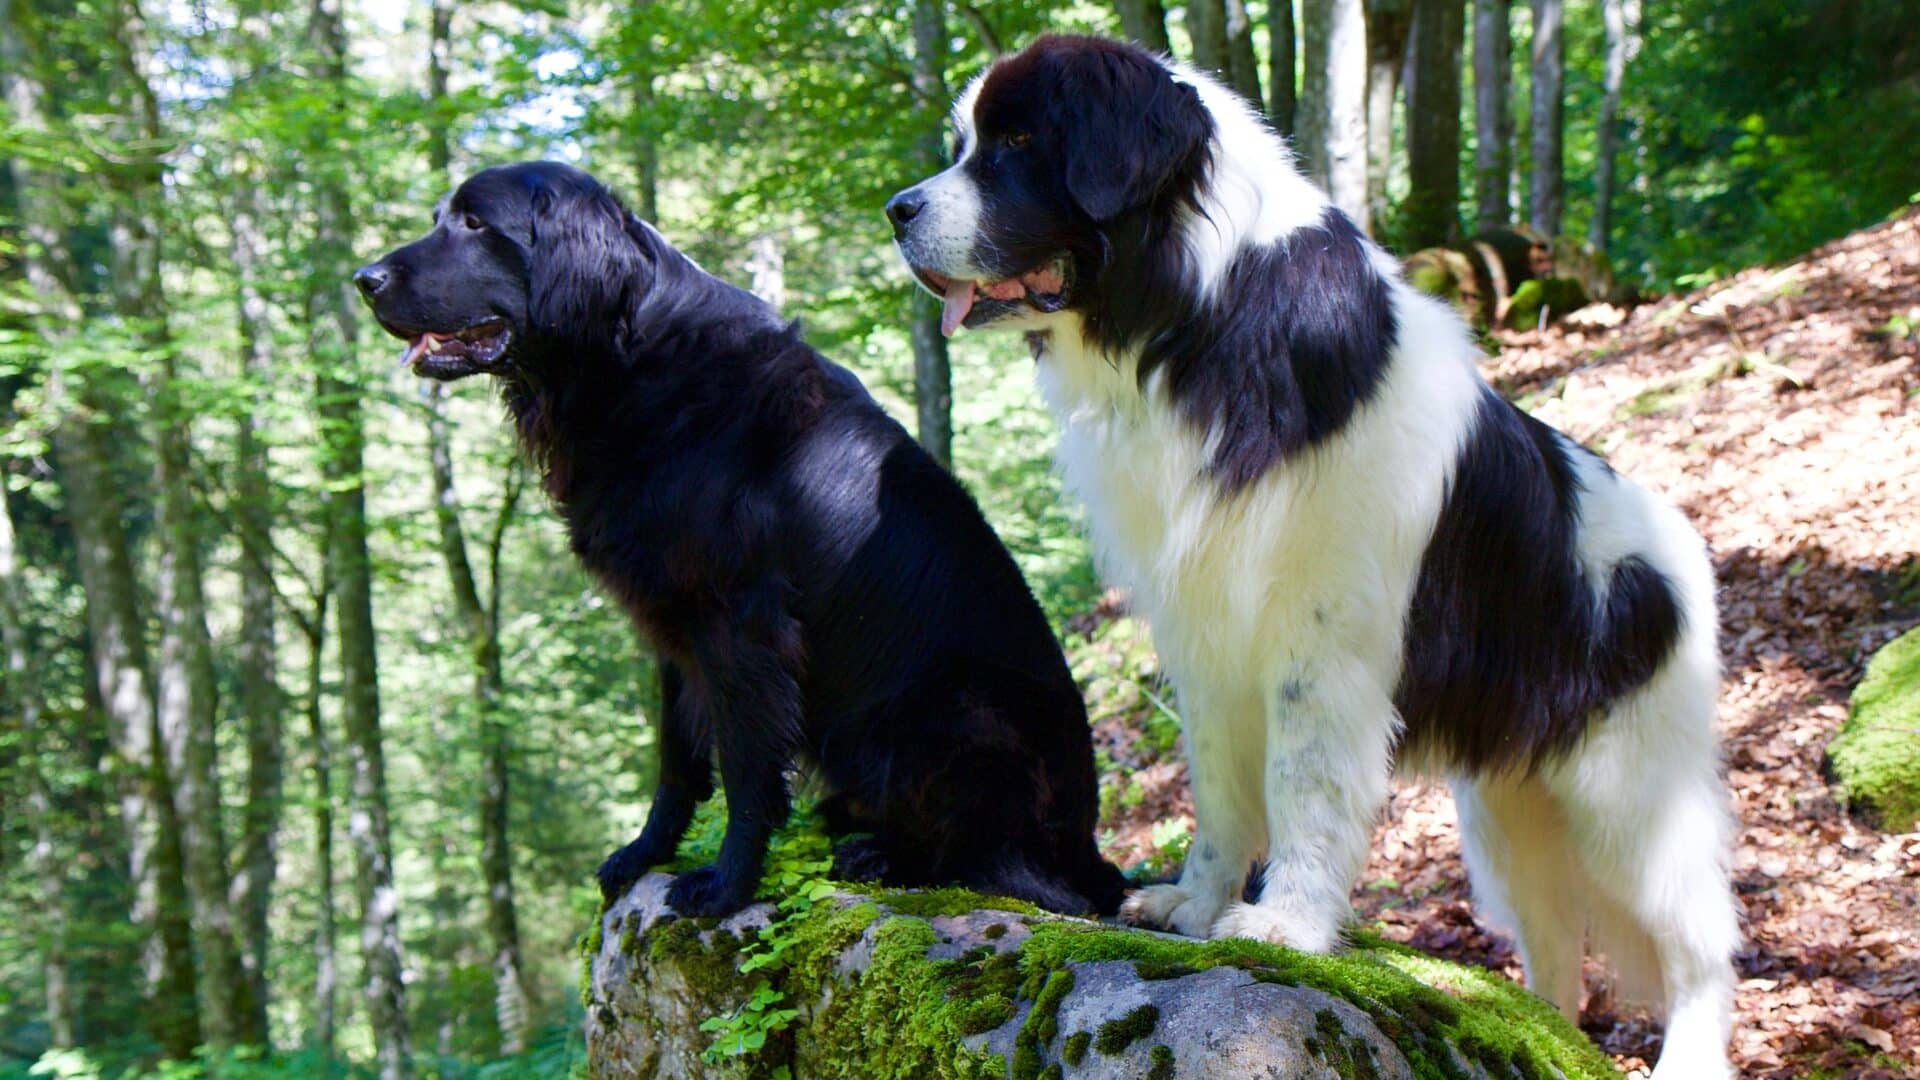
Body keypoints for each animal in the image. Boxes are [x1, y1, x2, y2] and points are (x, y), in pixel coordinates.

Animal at [355, 161, 1128, 914]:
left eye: (475, 222)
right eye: (438, 218)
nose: (364, 280)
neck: (633, 358)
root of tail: (1088, 847)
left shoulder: (740, 620)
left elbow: (746, 767)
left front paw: (728, 887)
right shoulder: (669, 621)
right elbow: (676, 757)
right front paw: (646, 853)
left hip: (949, 708)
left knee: (997, 865)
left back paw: (883, 855)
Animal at [883, 35, 1743, 1076]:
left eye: (1014, 144)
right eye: (964, 145)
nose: (897, 210)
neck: (1200, 320)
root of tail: (1681, 552)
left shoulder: (1324, 637)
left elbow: (1306, 782)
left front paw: (1285, 925)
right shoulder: (1205, 628)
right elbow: (1218, 783)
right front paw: (1195, 903)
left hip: (1630, 792)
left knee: (1698, 939)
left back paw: (1688, 1048)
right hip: (1509, 810)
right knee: (1554, 937)